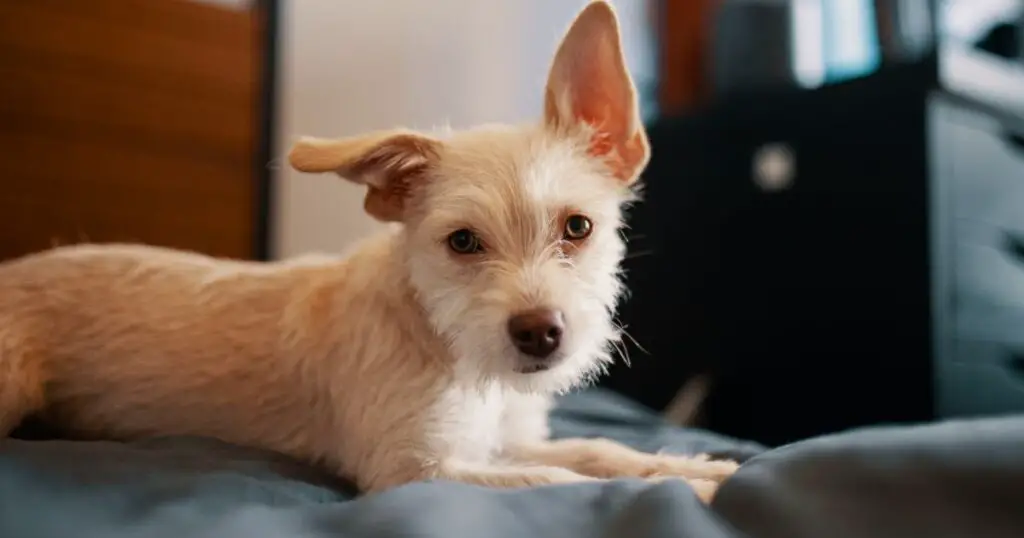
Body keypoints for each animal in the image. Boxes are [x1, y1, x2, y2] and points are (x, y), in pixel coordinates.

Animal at [0, 2, 737, 502]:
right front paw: (687, 490)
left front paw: (698, 467)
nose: (540, 334)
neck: (451, 351)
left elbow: (599, 450)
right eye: (462, 241)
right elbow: (560, 479)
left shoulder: (507, 439)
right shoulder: (416, 470)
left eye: (577, 227)